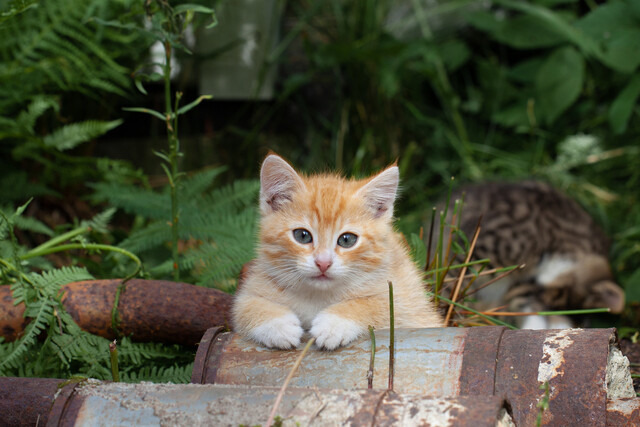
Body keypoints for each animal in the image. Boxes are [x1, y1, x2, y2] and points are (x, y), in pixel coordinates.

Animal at [231, 155, 444, 350]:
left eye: (347, 240)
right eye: (302, 236)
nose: (323, 263)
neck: (318, 295)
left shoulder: (409, 306)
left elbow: (376, 305)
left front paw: (334, 324)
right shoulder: (254, 285)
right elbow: (246, 306)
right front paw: (278, 325)